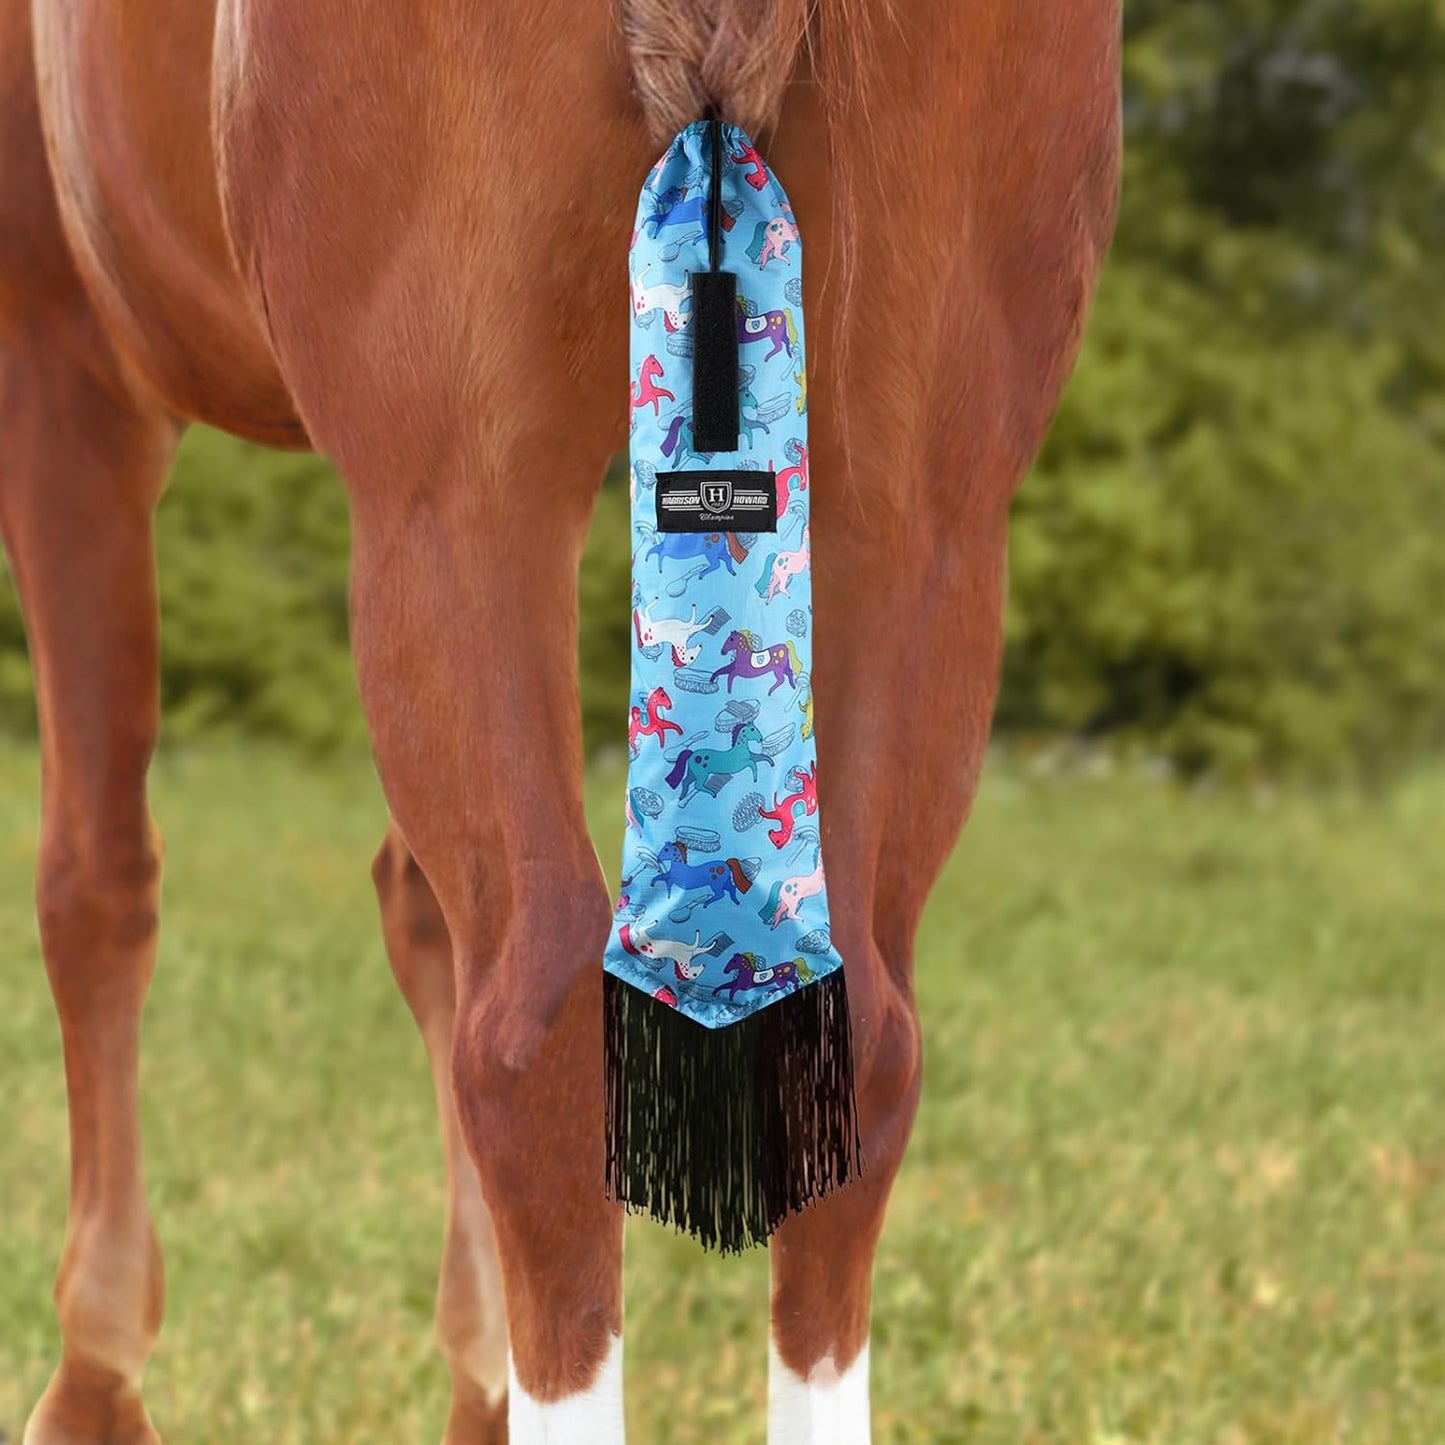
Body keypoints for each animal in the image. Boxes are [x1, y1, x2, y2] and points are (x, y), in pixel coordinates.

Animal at [0, 0, 1120, 1437]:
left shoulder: (60, 365)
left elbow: (93, 886)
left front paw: (93, 1375)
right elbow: (415, 909)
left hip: (452, 497)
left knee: (529, 1032)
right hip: (920, 514)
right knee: (859, 1035)